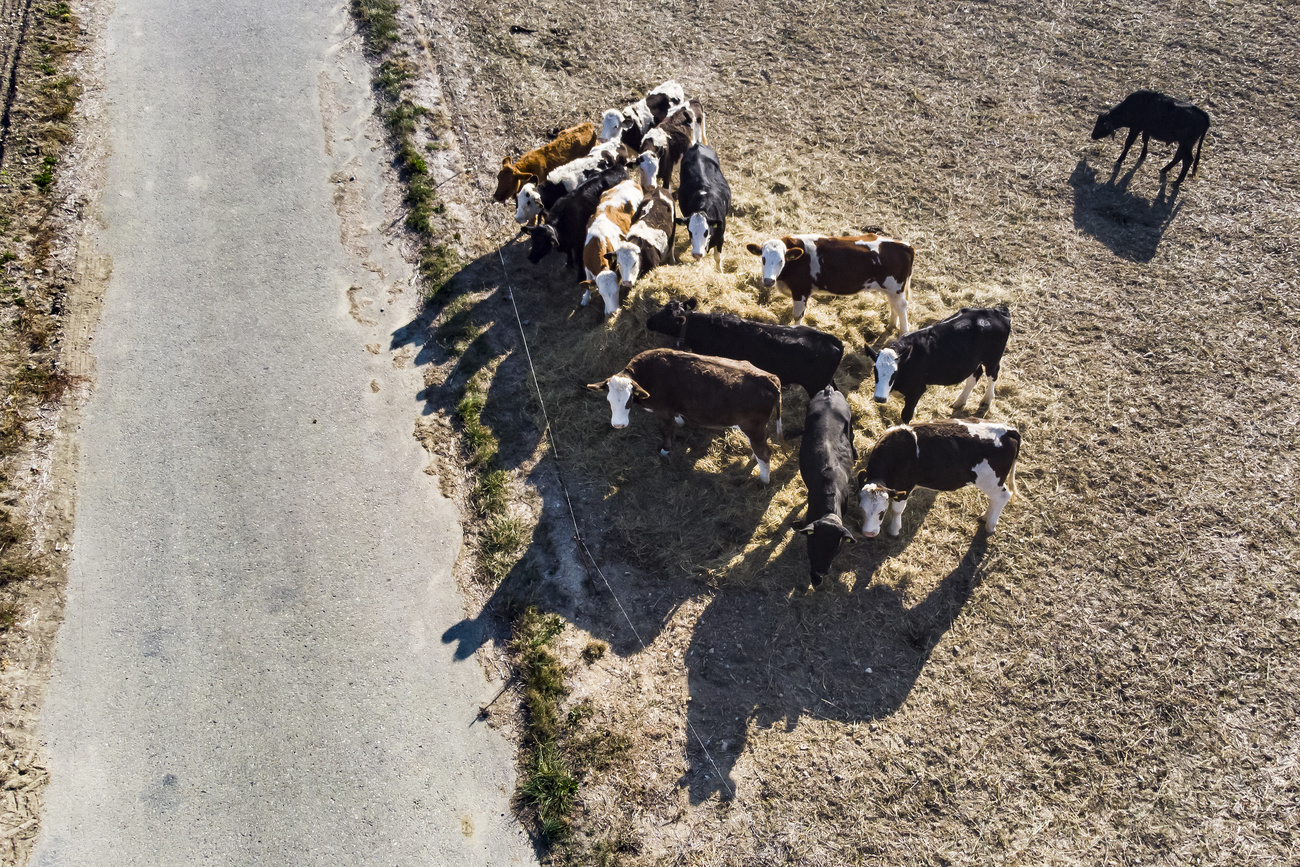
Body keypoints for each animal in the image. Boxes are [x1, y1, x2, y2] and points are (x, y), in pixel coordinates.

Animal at [580, 178, 644, 316]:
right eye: (601, 293)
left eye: (617, 290)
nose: (614, 312)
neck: (598, 240)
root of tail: (630, 181)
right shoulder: (586, 264)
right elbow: (587, 280)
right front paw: (586, 298)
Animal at [586, 348, 782, 483]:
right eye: (609, 399)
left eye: (629, 400)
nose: (618, 425)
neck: (648, 374)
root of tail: (768, 378)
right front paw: (680, 422)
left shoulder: (662, 411)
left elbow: (666, 433)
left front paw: (664, 451)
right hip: (756, 427)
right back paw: (753, 458)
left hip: (752, 427)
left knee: (765, 453)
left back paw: (764, 480)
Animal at [745, 232, 914, 331]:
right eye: (763, 258)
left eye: (781, 260)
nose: (768, 281)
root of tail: (905, 245)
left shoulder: (801, 291)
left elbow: (798, 316)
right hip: (891, 290)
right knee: (894, 306)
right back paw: (891, 326)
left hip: (896, 288)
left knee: (901, 308)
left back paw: (903, 333)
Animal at [857, 420, 1021, 538]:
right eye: (862, 510)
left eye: (882, 512)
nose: (868, 533)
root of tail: (1007, 430)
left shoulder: (905, 487)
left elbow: (897, 510)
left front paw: (894, 531)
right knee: (995, 499)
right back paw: (985, 517)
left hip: (991, 481)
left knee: (1003, 496)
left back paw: (990, 525)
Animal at [862, 306, 1011, 424]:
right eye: (875, 370)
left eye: (895, 372)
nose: (880, 398)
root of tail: (997, 311)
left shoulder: (918, 388)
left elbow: (906, 415)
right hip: (973, 361)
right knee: (976, 374)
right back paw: (960, 402)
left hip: (992, 358)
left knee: (993, 374)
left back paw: (986, 400)